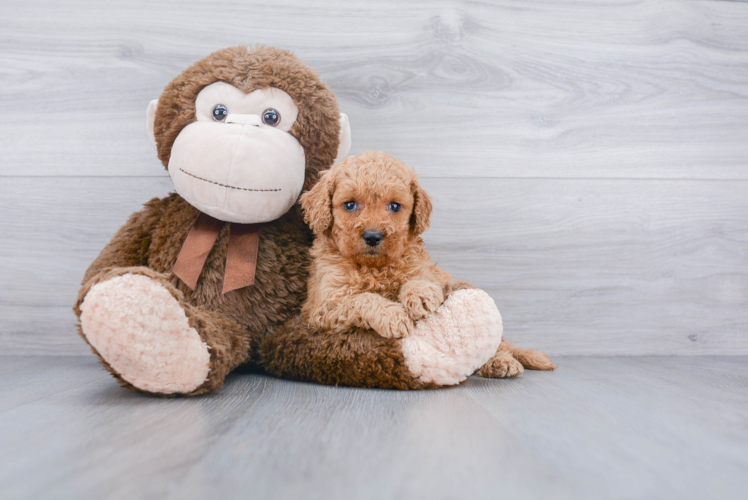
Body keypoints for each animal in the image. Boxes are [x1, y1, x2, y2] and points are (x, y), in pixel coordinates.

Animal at [300, 150, 556, 376]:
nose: (373, 236)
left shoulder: (423, 268)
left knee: (498, 345)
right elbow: (361, 299)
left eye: (394, 206)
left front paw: (420, 296)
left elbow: (420, 279)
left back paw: (502, 362)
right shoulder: (325, 305)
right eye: (350, 205)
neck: (376, 268)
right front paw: (393, 316)